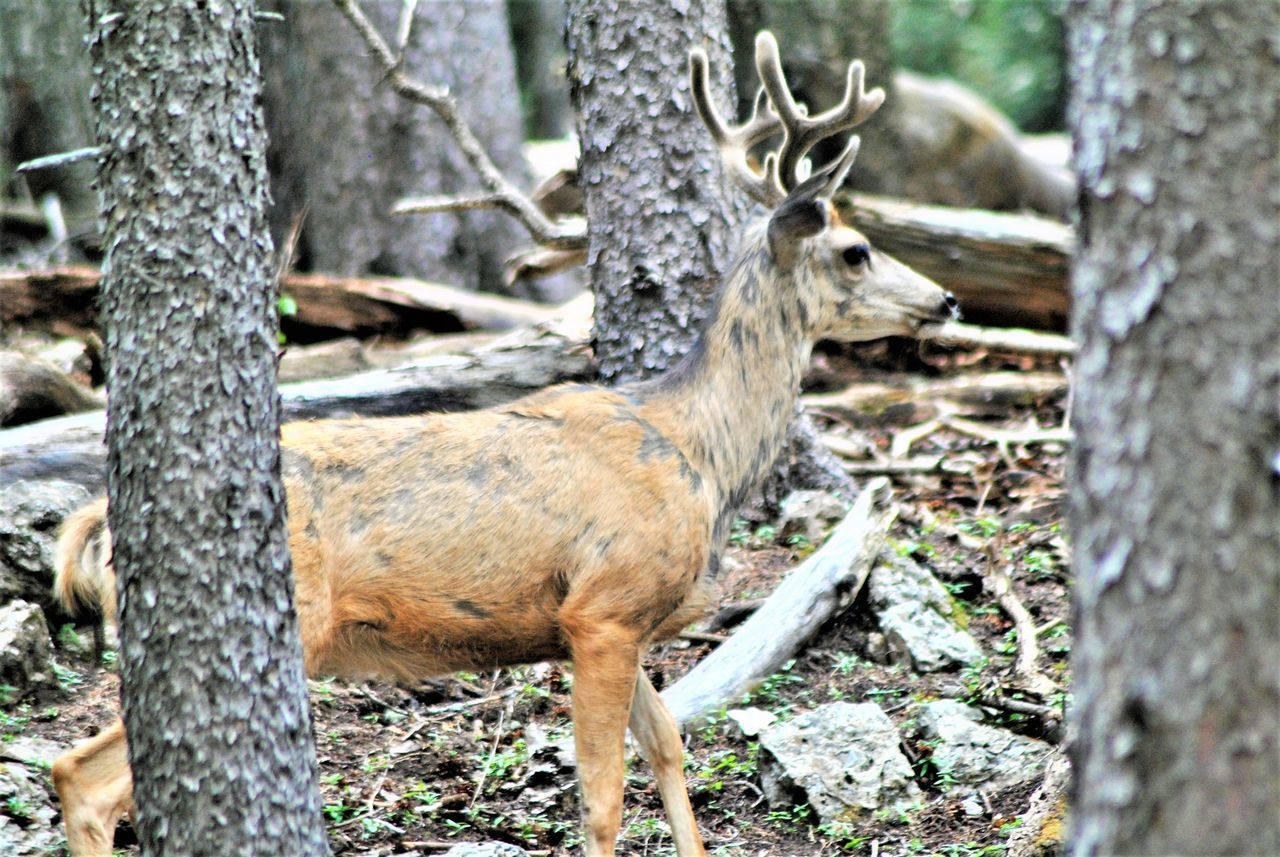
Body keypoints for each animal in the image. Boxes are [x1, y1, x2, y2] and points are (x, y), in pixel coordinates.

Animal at [47, 31, 952, 857]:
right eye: (855, 251)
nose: (945, 299)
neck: (697, 451)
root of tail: (101, 516)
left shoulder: (614, 618)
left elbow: (667, 744)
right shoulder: (605, 604)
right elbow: (602, 795)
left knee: (72, 768)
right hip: (288, 622)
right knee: (85, 777)